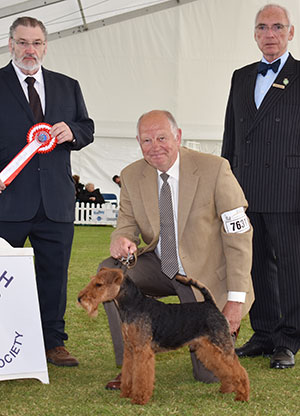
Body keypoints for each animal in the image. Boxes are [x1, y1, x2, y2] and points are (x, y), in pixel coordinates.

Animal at [77, 268, 248, 404]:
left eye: (99, 284)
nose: (80, 298)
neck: (134, 305)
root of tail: (210, 304)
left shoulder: (142, 351)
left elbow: (141, 376)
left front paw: (139, 399)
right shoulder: (130, 349)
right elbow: (129, 373)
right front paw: (126, 393)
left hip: (222, 346)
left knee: (240, 371)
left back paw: (242, 396)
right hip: (207, 348)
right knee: (225, 369)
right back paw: (227, 388)